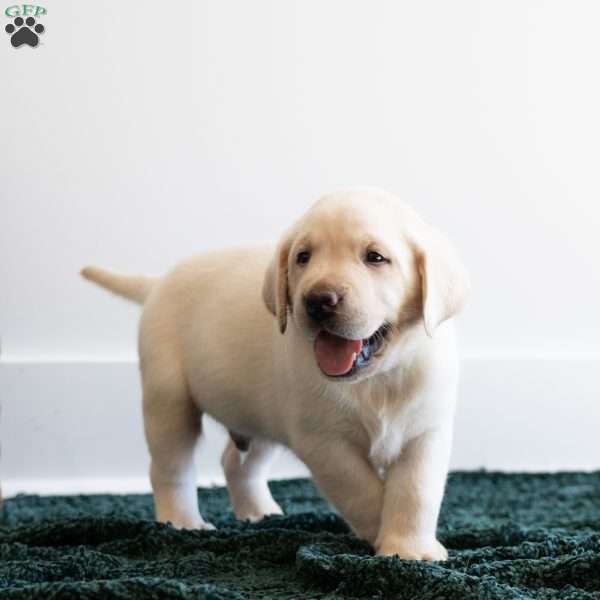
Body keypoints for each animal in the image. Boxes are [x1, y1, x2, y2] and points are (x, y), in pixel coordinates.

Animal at [82, 190, 468, 560]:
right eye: (303, 257)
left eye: (375, 257)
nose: (318, 300)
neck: (375, 380)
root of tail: (158, 283)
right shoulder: (324, 441)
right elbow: (363, 491)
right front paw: (381, 535)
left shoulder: (425, 432)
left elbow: (415, 492)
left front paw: (409, 548)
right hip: (169, 400)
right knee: (170, 467)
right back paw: (182, 522)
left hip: (258, 414)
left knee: (236, 464)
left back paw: (258, 513)